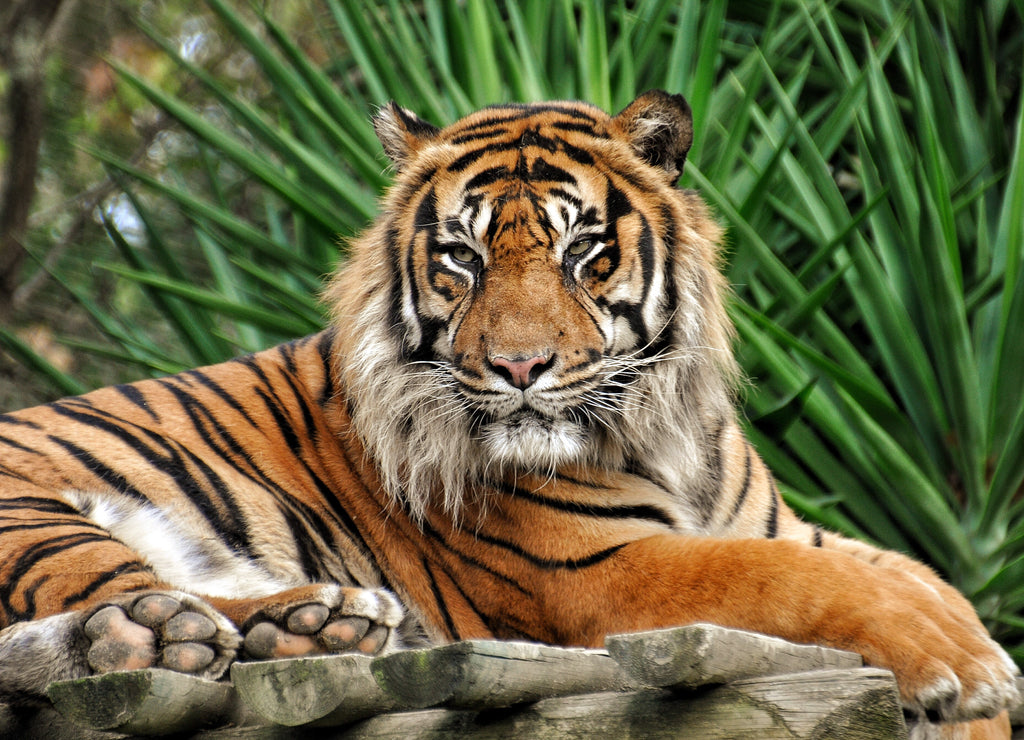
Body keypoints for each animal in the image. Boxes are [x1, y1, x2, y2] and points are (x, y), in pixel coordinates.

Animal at [0, 91, 1017, 739]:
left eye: (584, 251)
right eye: (461, 256)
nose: (519, 367)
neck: (663, 428)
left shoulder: (787, 526)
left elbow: (916, 574)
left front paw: (970, 667)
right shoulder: (601, 570)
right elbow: (791, 582)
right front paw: (962, 669)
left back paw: (313, 630)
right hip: (38, 515)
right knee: (109, 613)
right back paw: (257, 626)